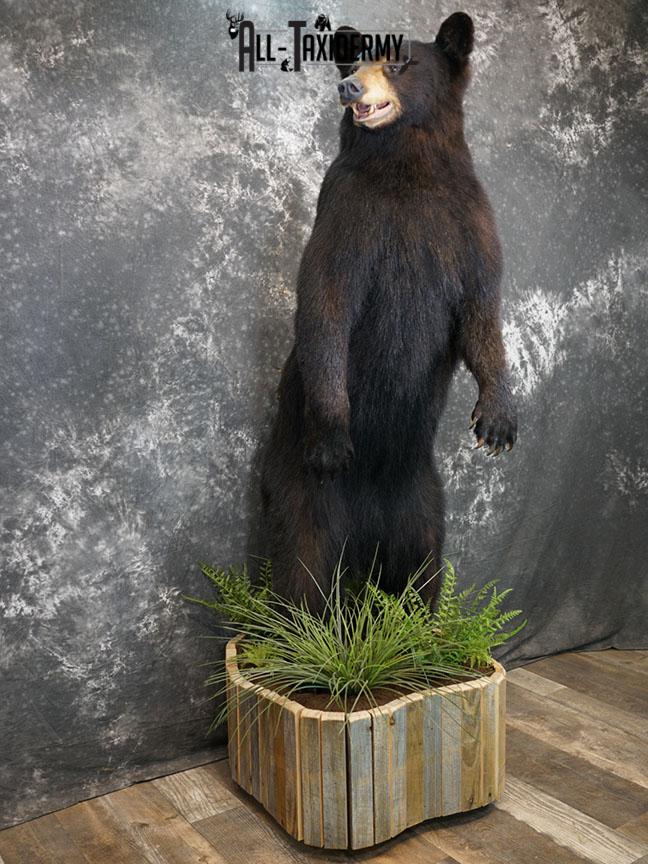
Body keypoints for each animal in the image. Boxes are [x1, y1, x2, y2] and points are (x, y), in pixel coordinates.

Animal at [258, 12, 517, 614]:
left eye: (399, 64)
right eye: (353, 63)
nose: (348, 87)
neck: (408, 165)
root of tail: (363, 536)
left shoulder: (468, 221)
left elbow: (481, 312)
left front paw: (497, 419)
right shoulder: (348, 211)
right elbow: (326, 302)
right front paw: (334, 438)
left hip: (421, 500)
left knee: (420, 565)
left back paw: (415, 623)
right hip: (300, 489)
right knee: (301, 566)